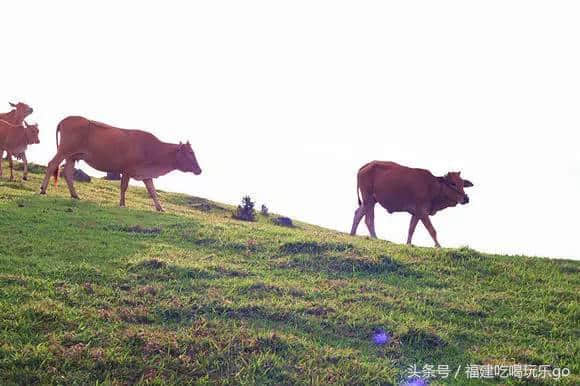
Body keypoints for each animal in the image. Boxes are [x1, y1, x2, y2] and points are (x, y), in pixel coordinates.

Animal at [39, 116, 202, 213]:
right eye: (190, 153)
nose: (199, 170)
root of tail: (66, 119)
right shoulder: (127, 170)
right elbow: (124, 187)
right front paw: (122, 204)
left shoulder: (145, 174)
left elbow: (152, 191)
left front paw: (160, 208)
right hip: (64, 151)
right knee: (52, 164)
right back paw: (43, 190)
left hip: (72, 156)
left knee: (67, 172)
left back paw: (75, 195)